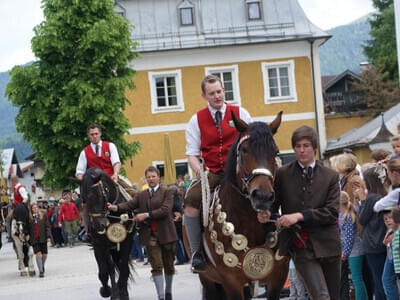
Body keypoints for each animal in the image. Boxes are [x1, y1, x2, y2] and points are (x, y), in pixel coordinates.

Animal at [76, 169, 134, 300]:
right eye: (84, 198)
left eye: (99, 194)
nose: (99, 225)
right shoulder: (99, 245)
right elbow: (105, 270)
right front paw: (107, 291)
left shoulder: (126, 241)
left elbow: (123, 266)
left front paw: (121, 292)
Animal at [199, 112, 288, 300]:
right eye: (244, 150)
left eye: (275, 151)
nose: (262, 196)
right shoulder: (231, 281)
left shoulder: (278, 277)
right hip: (207, 279)